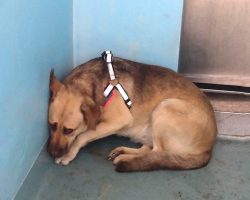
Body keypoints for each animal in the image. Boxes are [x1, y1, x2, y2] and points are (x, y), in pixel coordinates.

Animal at [47, 54, 217, 172]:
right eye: (52, 126)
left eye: (69, 130)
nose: (53, 153)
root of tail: (208, 149)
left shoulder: (119, 120)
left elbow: (82, 136)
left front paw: (68, 155)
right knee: (147, 150)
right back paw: (122, 152)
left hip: (164, 106)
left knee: (156, 152)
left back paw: (125, 158)